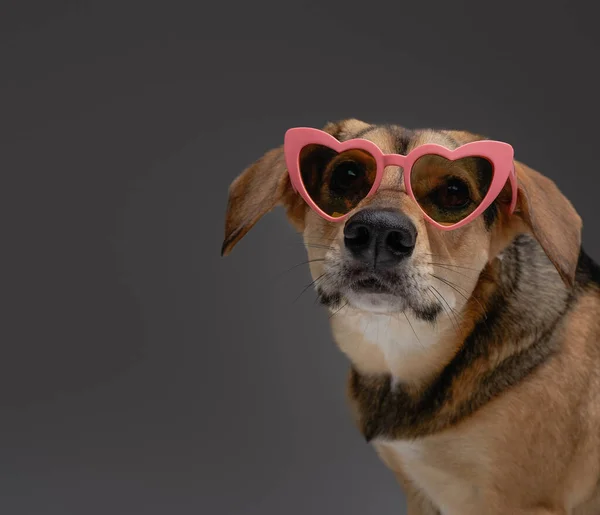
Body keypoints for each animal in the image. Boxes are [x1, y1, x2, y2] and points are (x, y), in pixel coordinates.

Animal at [220, 119, 600, 512]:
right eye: (347, 175)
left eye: (453, 192)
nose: (378, 231)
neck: (401, 351)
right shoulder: (419, 492)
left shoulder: (521, 502)